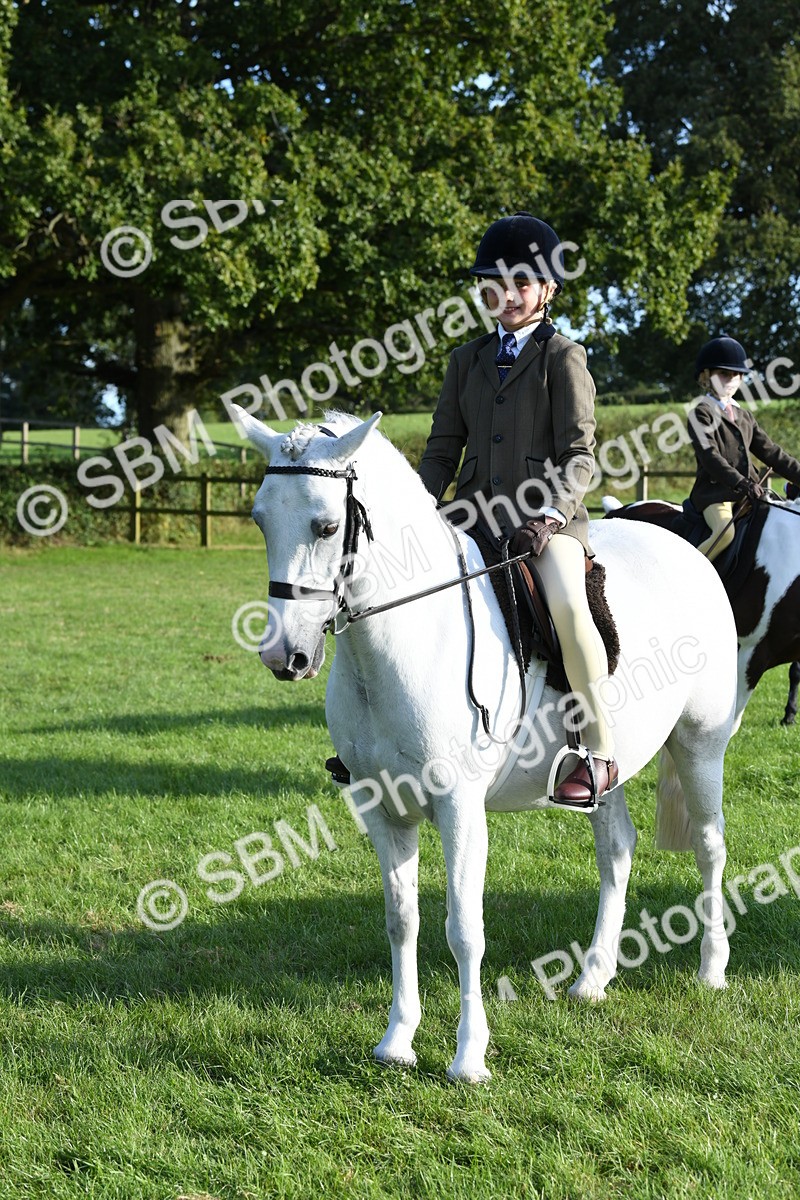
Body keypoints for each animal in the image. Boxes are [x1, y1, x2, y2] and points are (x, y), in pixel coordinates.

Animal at [234, 405, 738, 1083]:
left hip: (699, 745)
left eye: (327, 525)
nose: (284, 656)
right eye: (260, 518)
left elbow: (464, 929)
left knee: (710, 847)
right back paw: (593, 979)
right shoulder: (381, 809)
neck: (407, 639)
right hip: (606, 772)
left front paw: (469, 1057)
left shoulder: (461, 809)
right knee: (617, 851)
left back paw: (711, 968)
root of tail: (687, 550)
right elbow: (402, 920)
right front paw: (397, 1041)